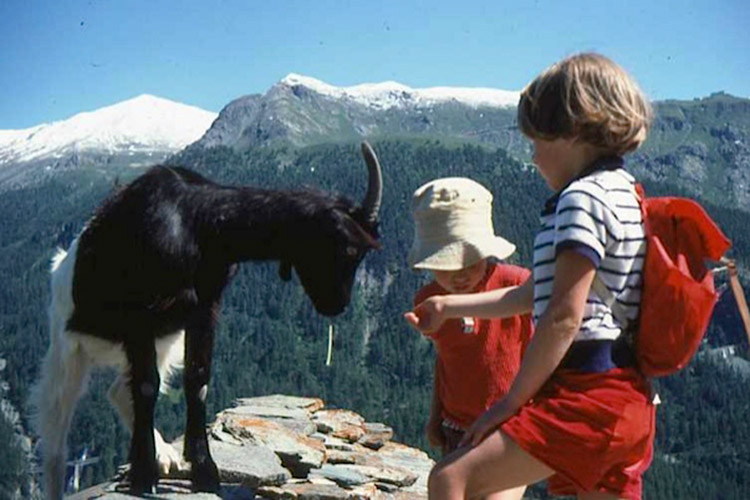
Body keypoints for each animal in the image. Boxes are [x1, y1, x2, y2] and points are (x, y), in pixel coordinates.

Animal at [30, 143, 382, 498]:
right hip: (68, 349)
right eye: (345, 249)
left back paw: (165, 455)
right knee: (56, 430)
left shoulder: (204, 310)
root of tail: (61, 265)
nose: (337, 305)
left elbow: (197, 381)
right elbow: (146, 387)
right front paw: (144, 476)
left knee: (118, 390)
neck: (194, 223)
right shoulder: (139, 315)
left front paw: (203, 469)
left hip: (164, 340)